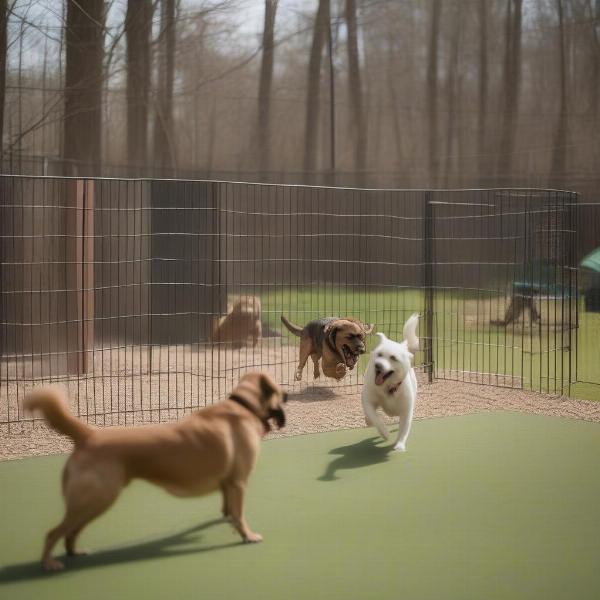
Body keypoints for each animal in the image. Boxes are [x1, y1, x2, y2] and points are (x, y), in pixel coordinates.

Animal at [23, 370, 286, 572]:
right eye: (278, 392)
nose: (288, 395)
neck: (244, 406)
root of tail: (89, 435)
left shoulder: (228, 483)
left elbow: (228, 510)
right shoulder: (238, 482)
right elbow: (239, 515)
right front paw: (248, 536)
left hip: (92, 503)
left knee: (70, 532)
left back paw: (74, 552)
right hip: (95, 499)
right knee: (53, 533)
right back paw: (49, 564)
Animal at [358, 314, 420, 450]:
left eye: (393, 358)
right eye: (379, 354)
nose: (377, 365)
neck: (388, 387)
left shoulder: (406, 410)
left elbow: (404, 429)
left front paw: (400, 445)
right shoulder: (368, 400)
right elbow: (375, 417)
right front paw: (384, 432)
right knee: (369, 417)